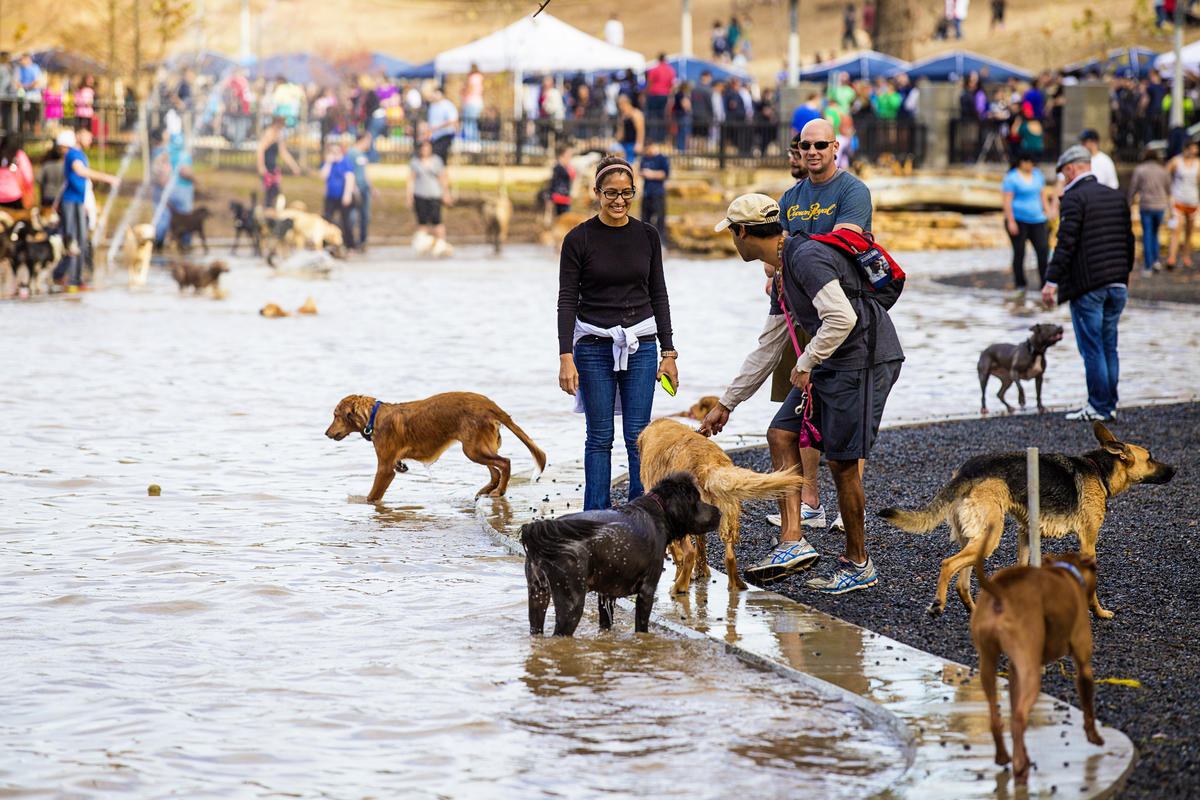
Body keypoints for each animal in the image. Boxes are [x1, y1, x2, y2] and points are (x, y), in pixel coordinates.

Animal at [326, 393, 547, 501]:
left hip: (473, 449)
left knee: (505, 463)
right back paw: (486, 490)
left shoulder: (385, 469)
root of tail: (490, 404)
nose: (326, 433)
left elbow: (372, 496)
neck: (374, 417)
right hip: (477, 447)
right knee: (495, 471)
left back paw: (499, 491)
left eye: (335, 416)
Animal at [969, 551, 1099, 782]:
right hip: (1032, 675)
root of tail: (999, 590)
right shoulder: (1082, 660)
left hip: (987, 664)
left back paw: (1004, 757)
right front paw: (1094, 736)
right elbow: (1088, 704)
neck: (1066, 570)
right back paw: (1021, 766)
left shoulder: (1014, 670)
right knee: (1018, 718)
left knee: (997, 717)